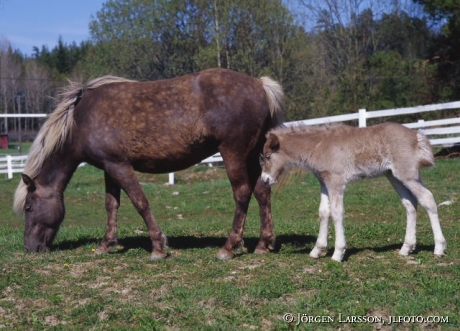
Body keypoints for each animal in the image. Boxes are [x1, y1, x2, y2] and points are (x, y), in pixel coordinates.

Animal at [13, 69, 284, 262]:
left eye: (28, 207)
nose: (30, 248)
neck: (80, 120)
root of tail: (260, 85)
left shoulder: (120, 167)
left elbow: (140, 202)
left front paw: (158, 247)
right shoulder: (110, 167)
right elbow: (111, 205)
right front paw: (105, 244)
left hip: (234, 154)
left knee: (242, 193)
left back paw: (228, 247)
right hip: (252, 155)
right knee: (262, 191)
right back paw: (263, 244)